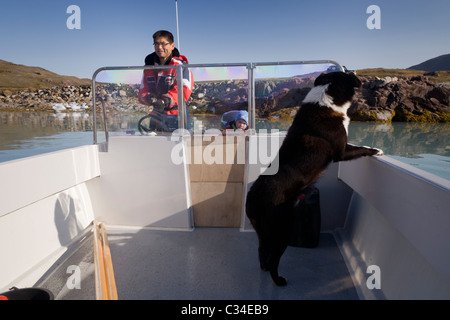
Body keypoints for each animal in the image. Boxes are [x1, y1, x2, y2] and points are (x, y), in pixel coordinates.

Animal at [246, 72, 384, 284]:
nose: (358, 76)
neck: (326, 101)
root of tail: (253, 198)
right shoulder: (341, 152)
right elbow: (361, 148)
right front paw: (376, 150)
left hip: (262, 230)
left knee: (262, 250)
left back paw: (264, 269)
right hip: (281, 229)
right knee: (273, 258)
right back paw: (278, 280)